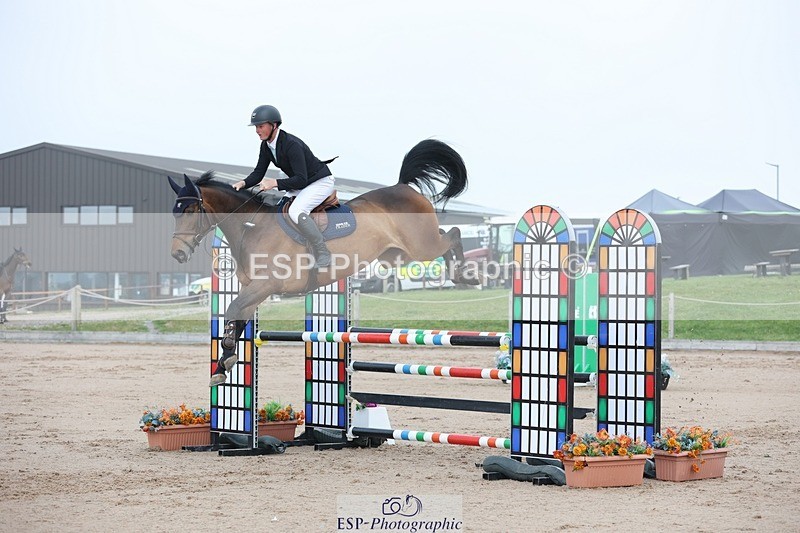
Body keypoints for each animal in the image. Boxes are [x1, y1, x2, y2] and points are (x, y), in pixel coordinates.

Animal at [168, 139, 479, 386]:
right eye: (174, 212)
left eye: (191, 210)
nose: (177, 254)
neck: (251, 227)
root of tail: (403, 186)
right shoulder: (252, 289)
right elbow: (236, 316)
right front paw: (223, 366)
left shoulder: (265, 285)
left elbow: (232, 308)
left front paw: (227, 355)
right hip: (397, 255)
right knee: (446, 237)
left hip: (422, 246)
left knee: (452, 234)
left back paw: (466, 276)